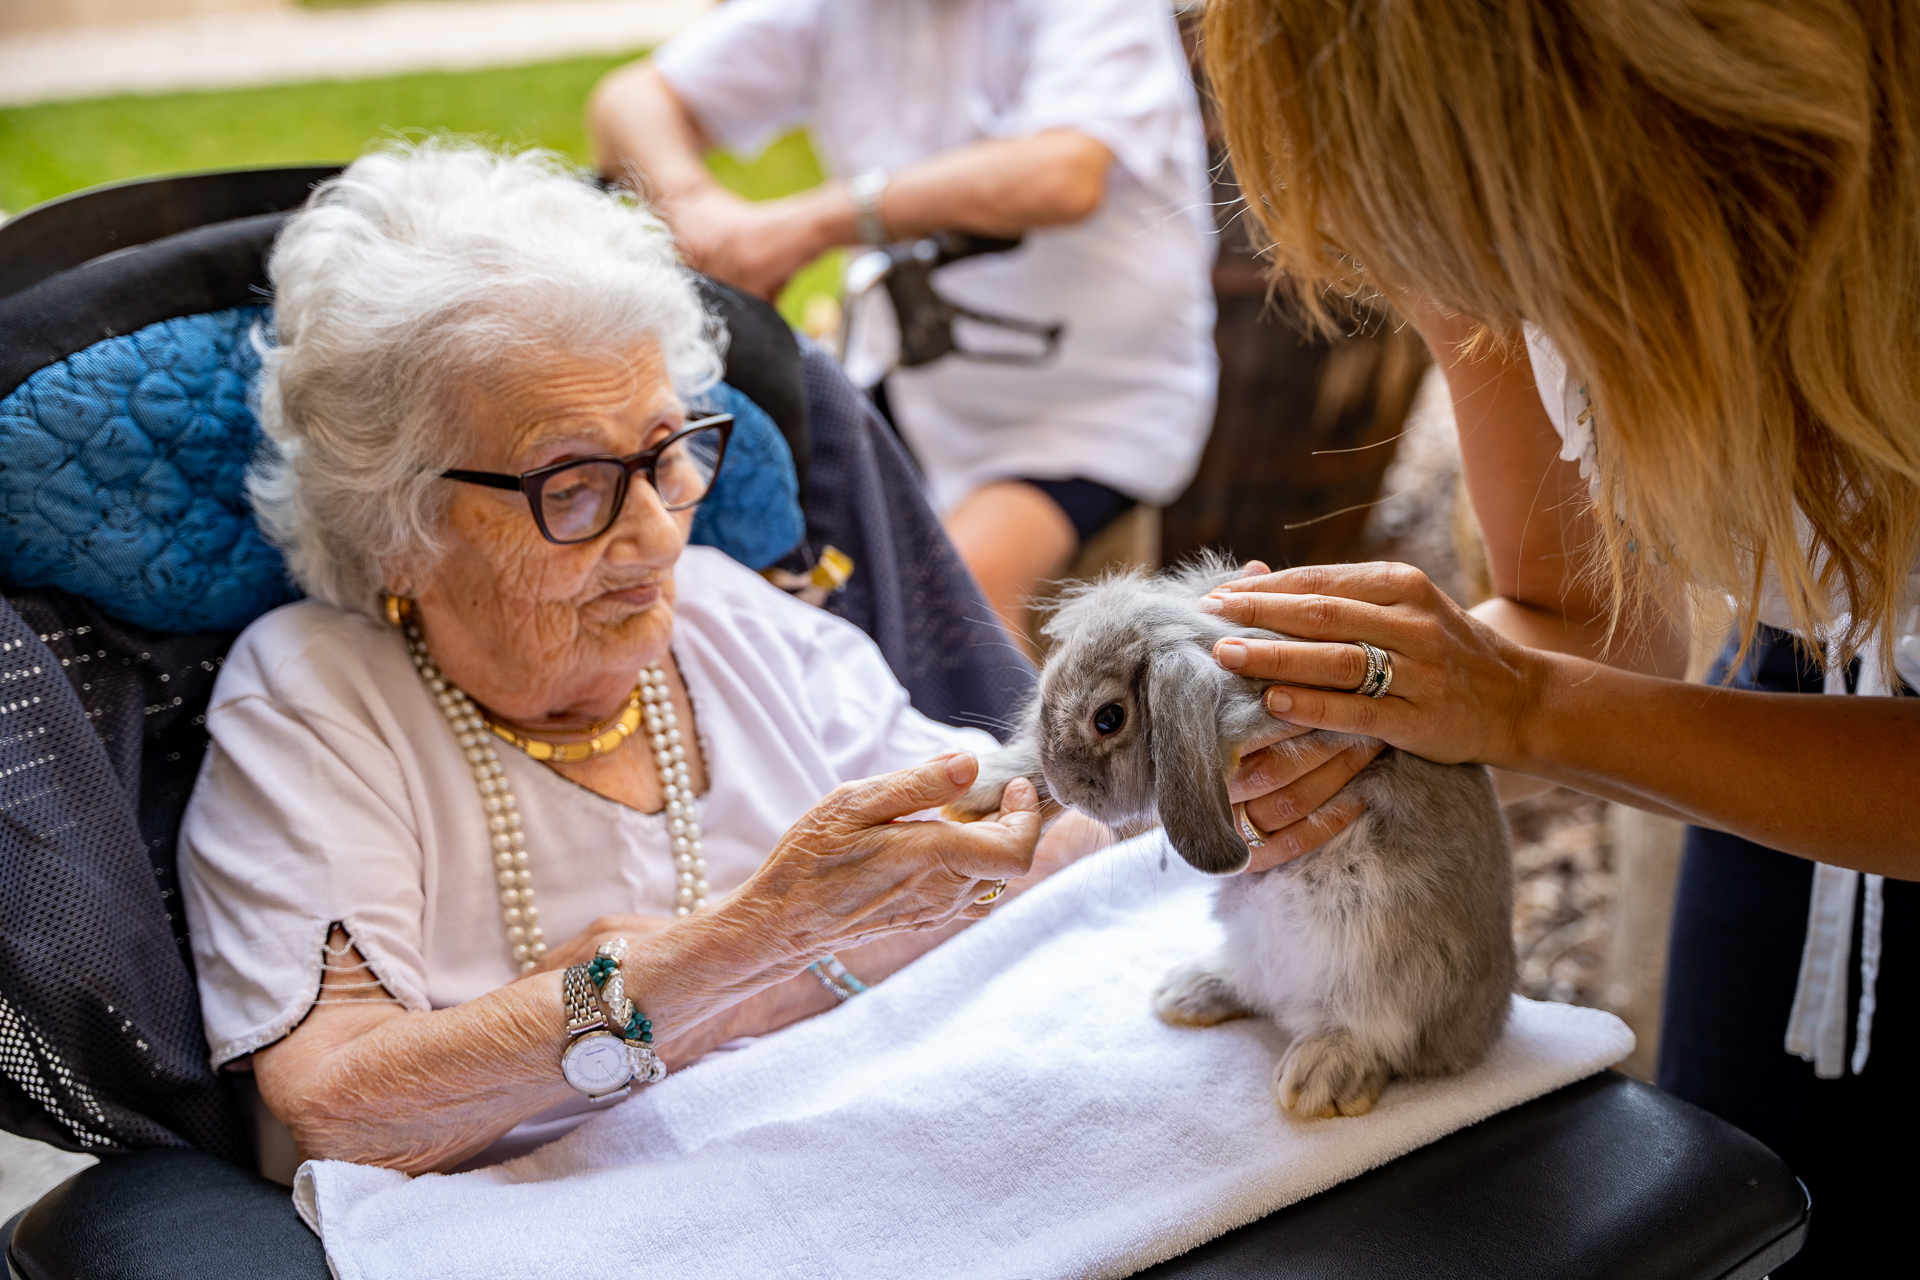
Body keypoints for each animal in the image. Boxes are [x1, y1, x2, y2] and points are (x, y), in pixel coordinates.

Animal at [948, 556, 1512, 1113]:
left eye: (1108, 719)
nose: (1068, 795)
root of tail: (1483, 1029)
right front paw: (981, 789)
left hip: (1377, 951)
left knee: (1382, 1028)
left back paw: (1317, 1077)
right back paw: (1186, 993)